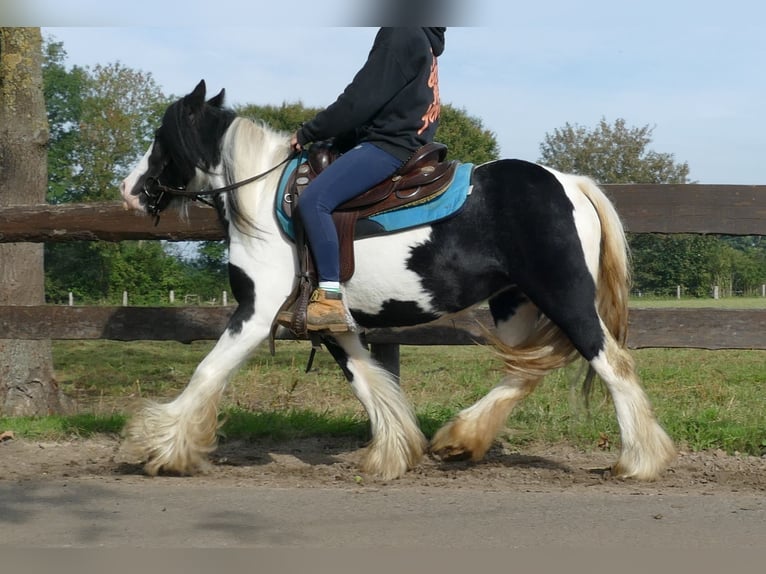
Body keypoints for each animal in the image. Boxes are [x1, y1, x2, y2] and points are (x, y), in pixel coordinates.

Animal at [117, 81, 676, 482]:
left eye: (161, 138)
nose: (129, 191)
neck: (263, 198)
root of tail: (572, 184)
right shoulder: (329, 321)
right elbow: (367, 380)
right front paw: (393, 452)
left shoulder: (255, 313)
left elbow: (207, 372)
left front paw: (160, 448)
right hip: (513, 305)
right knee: (525, 370)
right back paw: (461, 437)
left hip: (564, 297)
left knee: (611, 364)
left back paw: (639, 461)